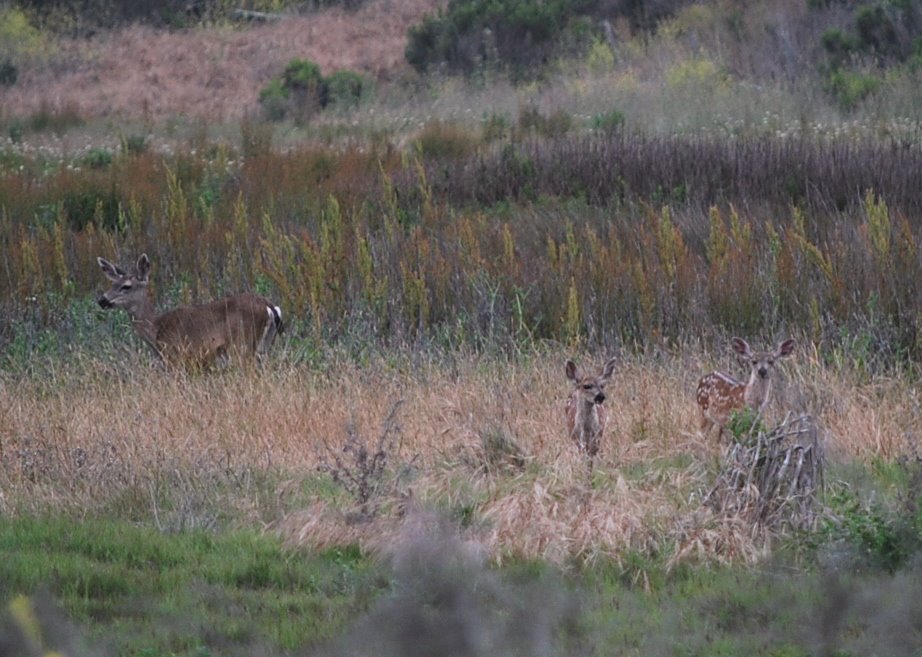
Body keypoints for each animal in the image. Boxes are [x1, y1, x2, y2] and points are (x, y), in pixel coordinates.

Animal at [97, 254, 282, 368]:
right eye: (112, 284)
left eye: (126, 286)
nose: (102, 300)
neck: (156, 329)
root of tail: (270, 307)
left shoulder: (177, 356)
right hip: (264, 346)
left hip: (242, 345)